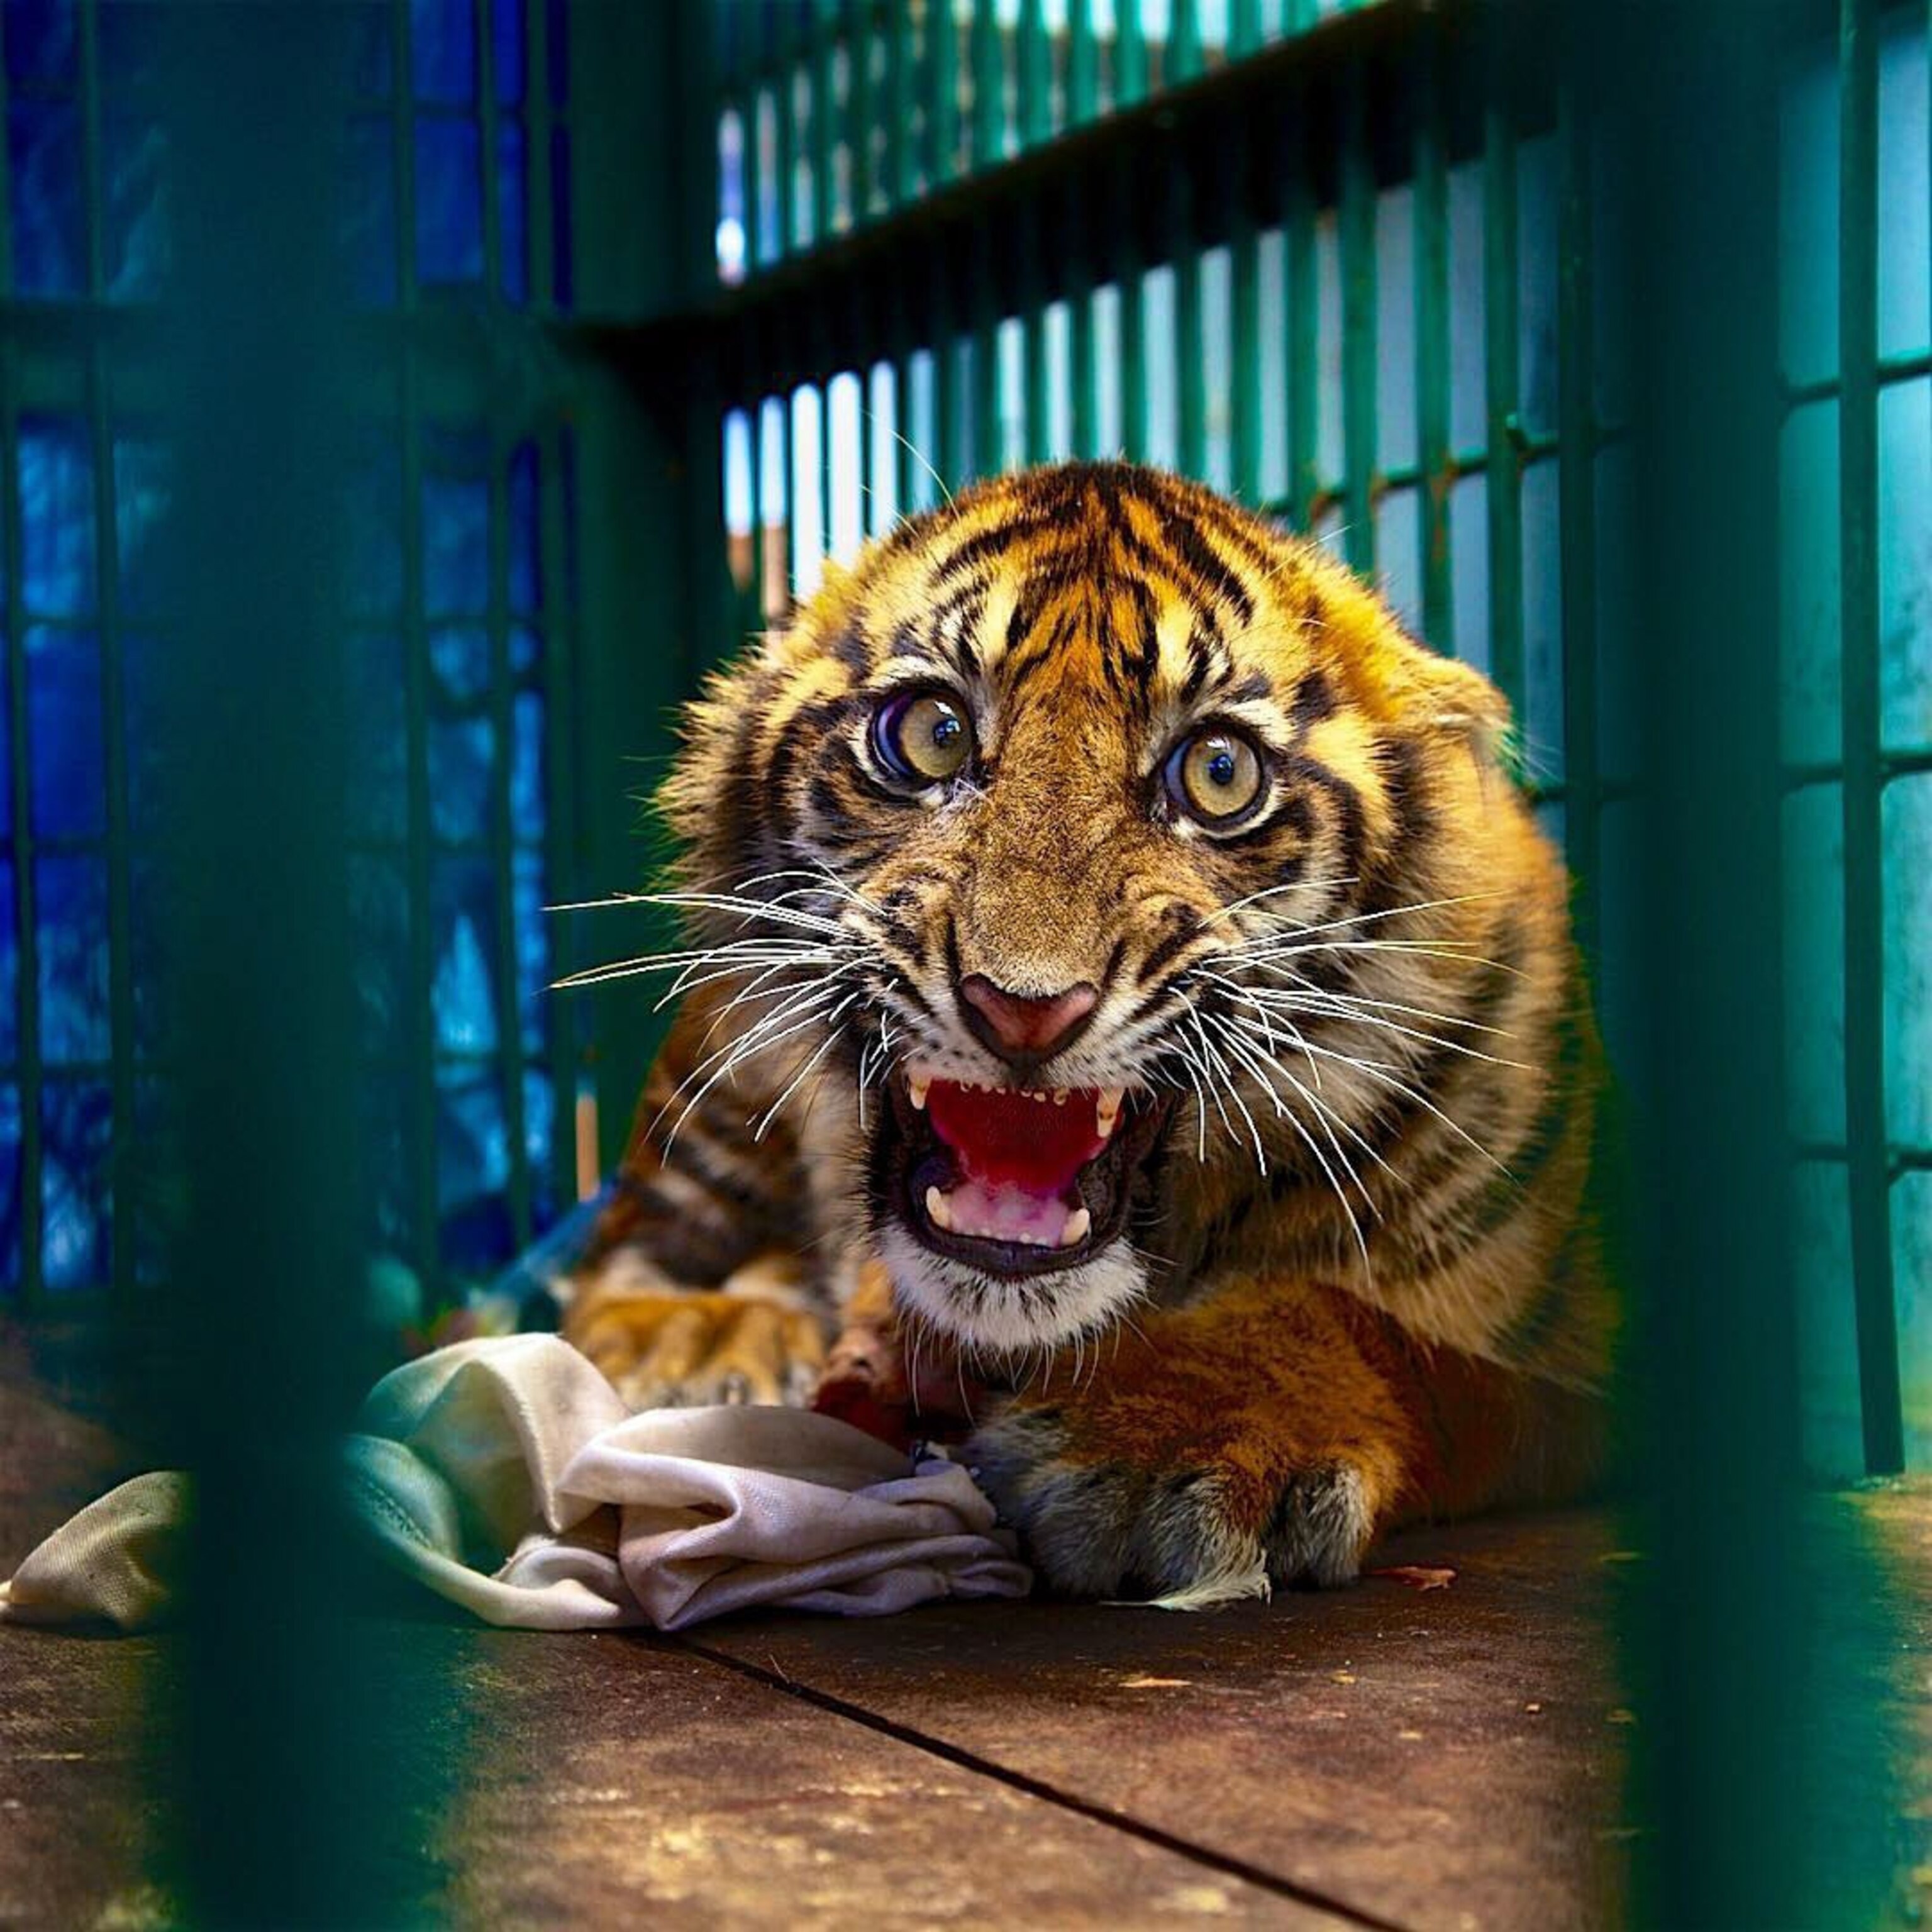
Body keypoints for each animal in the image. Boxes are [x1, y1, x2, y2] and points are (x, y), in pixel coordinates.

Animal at [559, 459, 1612, 1605]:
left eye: (1219, 773)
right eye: (931, 733)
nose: (1024, 1004)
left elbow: (1402, 1340)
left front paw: (1168, 1441)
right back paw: (695, 1337)